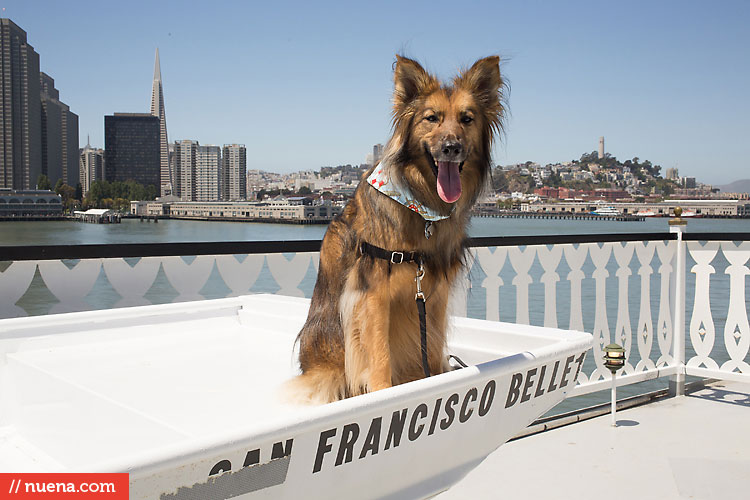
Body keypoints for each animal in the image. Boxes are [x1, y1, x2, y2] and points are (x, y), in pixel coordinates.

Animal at [290, 55, 508, 406]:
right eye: (431, 118)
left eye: (467, 119)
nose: (452, 147)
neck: (422, 207)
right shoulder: (372, 294)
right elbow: (379, 355)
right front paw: (383, 393)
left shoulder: (435, 293)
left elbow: (433, 347)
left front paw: (438, 379)